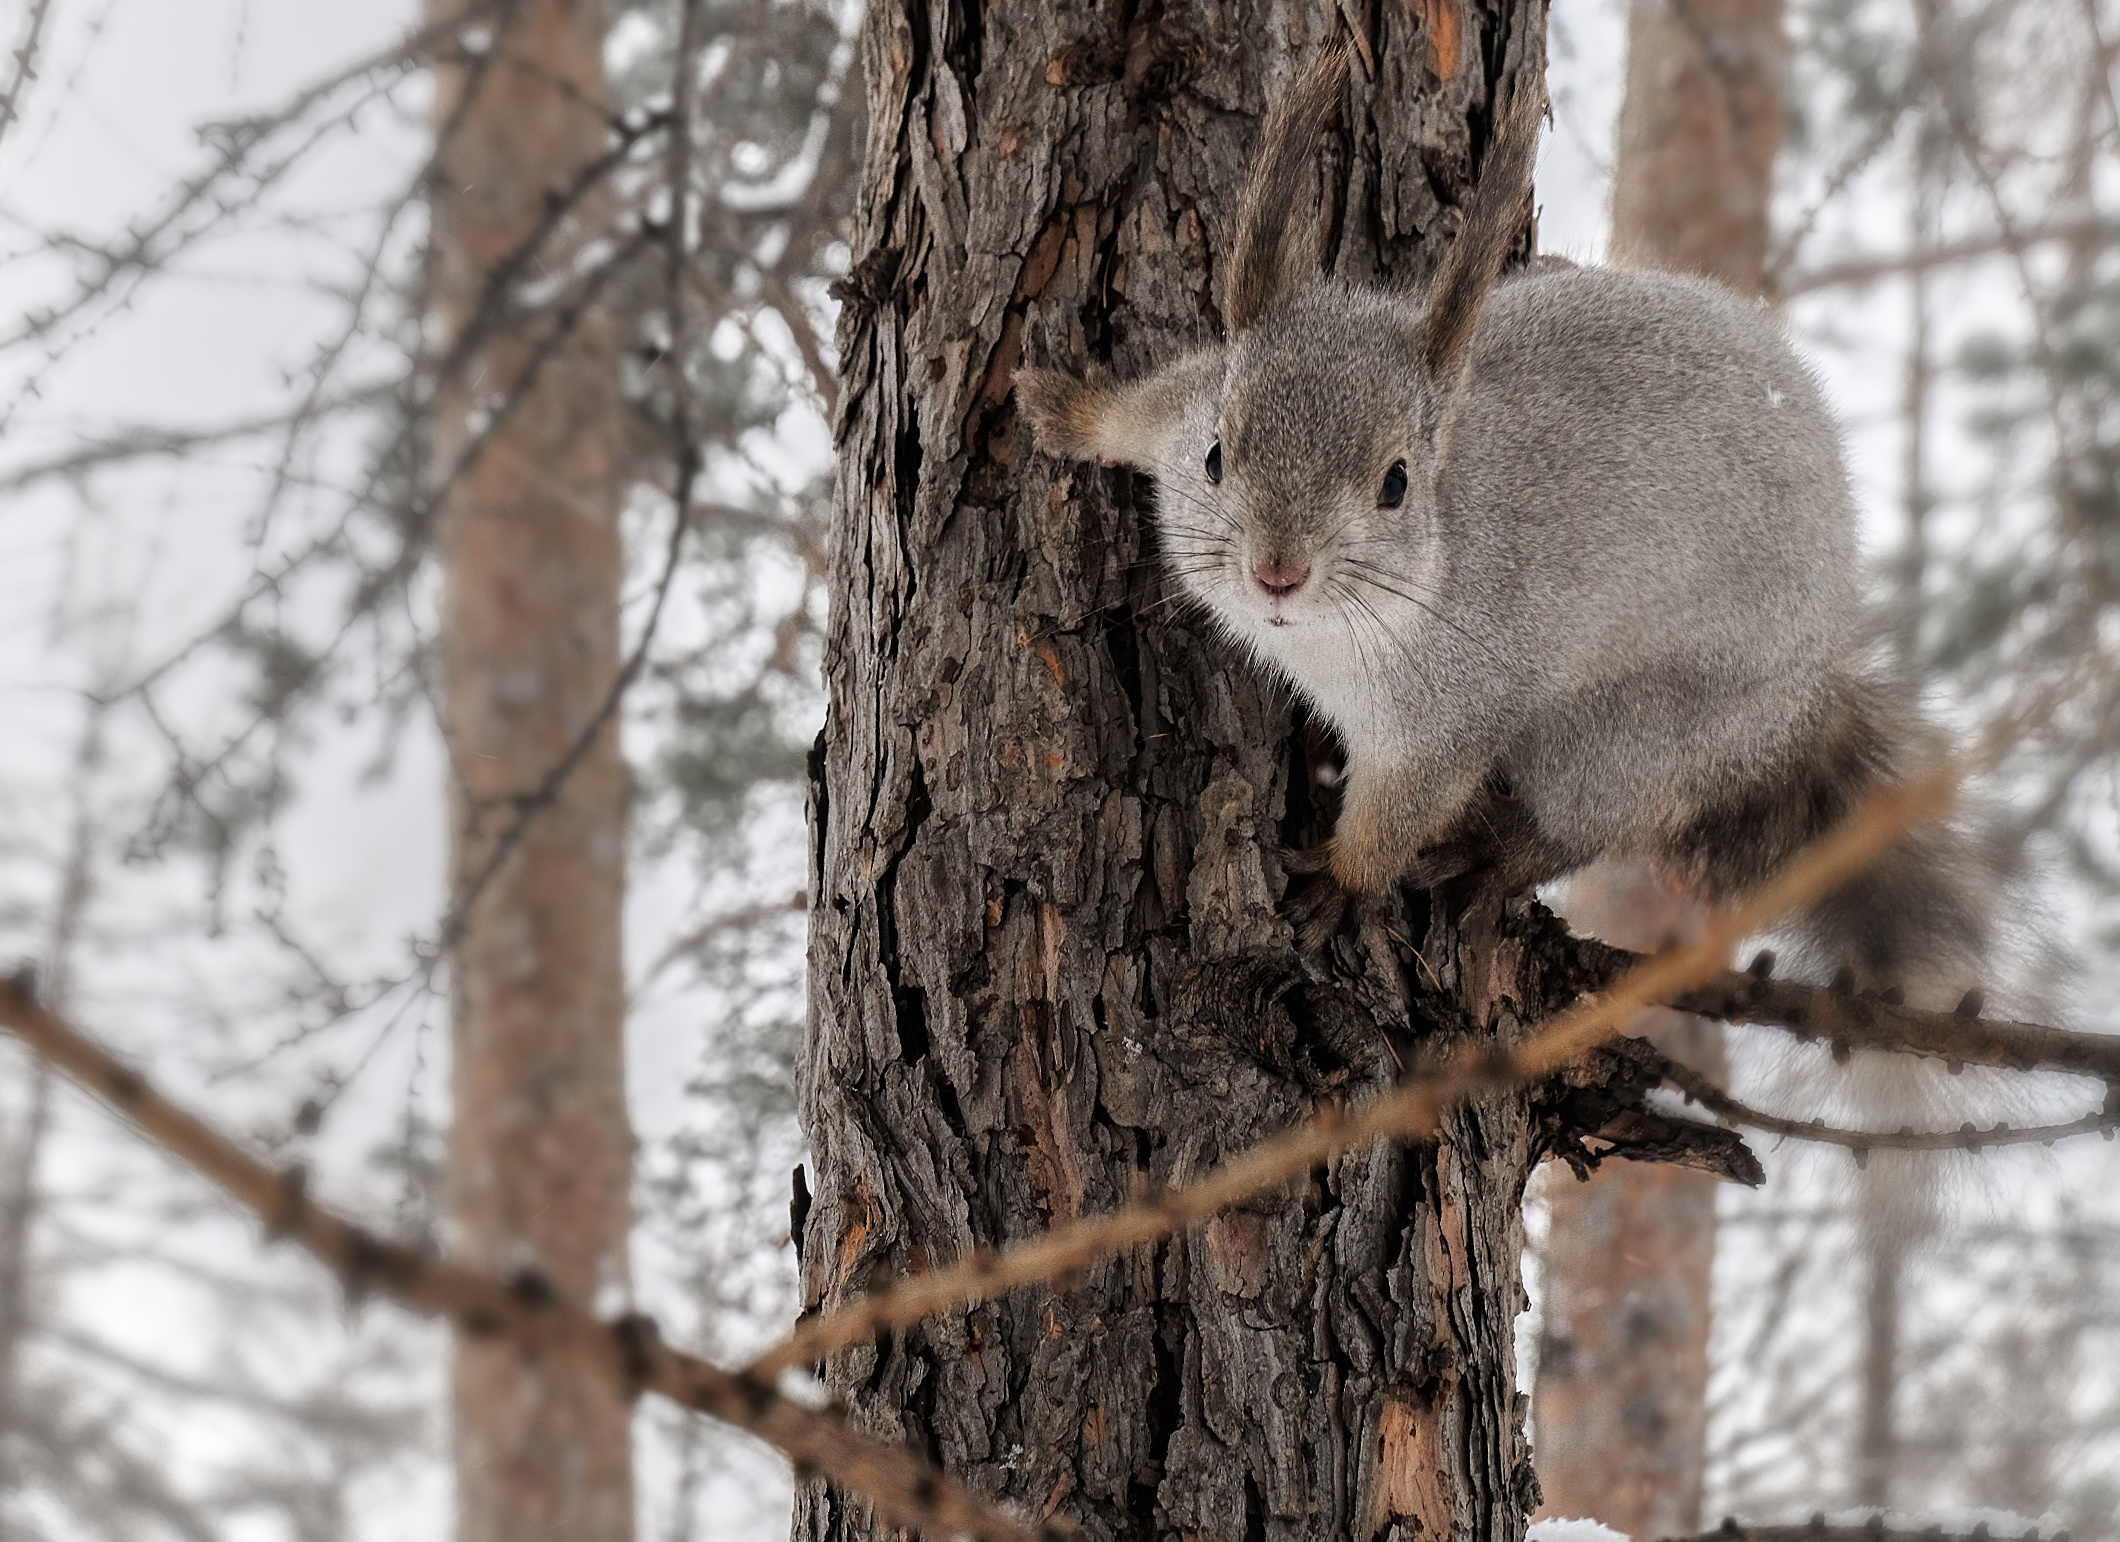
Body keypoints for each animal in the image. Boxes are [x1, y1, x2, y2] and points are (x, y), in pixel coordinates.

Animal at [1017, 42, 1992, 996]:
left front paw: (1343, 883)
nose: (1276, 571)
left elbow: (1398, 813)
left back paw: (1494, 853)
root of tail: (1806, 699)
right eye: (1218, 455)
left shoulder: (1451, 711)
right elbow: (1142, 412)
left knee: (1582, 824)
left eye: (1397, 484)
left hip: (1621, 736)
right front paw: (1066, 408)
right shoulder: (1184, 408)